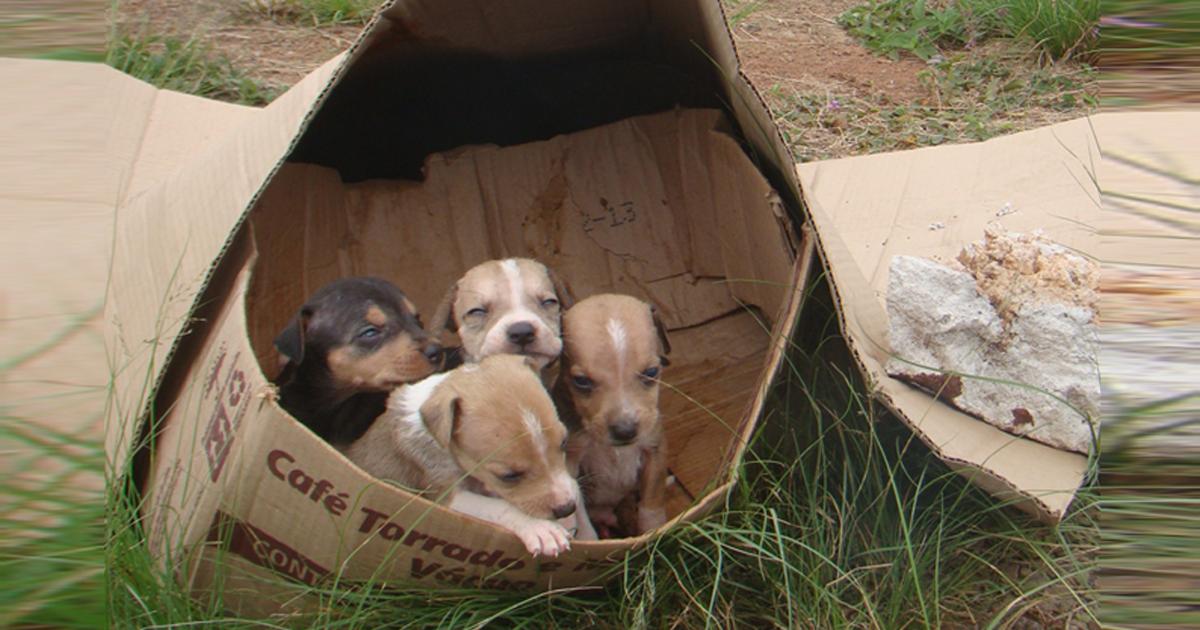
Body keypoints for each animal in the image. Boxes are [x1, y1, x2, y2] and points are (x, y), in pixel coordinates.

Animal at [340, 352, 583, 554]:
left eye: (564, 443)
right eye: (509, 476)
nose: (567, 508)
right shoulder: (445, 496)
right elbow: (497, 506)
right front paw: (541, 528)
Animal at [554, 294, 672, 535]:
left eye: (651, 372)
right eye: (581, 381)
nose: (625, 431)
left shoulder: (654, 449)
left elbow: (651, 503)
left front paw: (653, 533)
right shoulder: (570, 464)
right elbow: (581, 521)